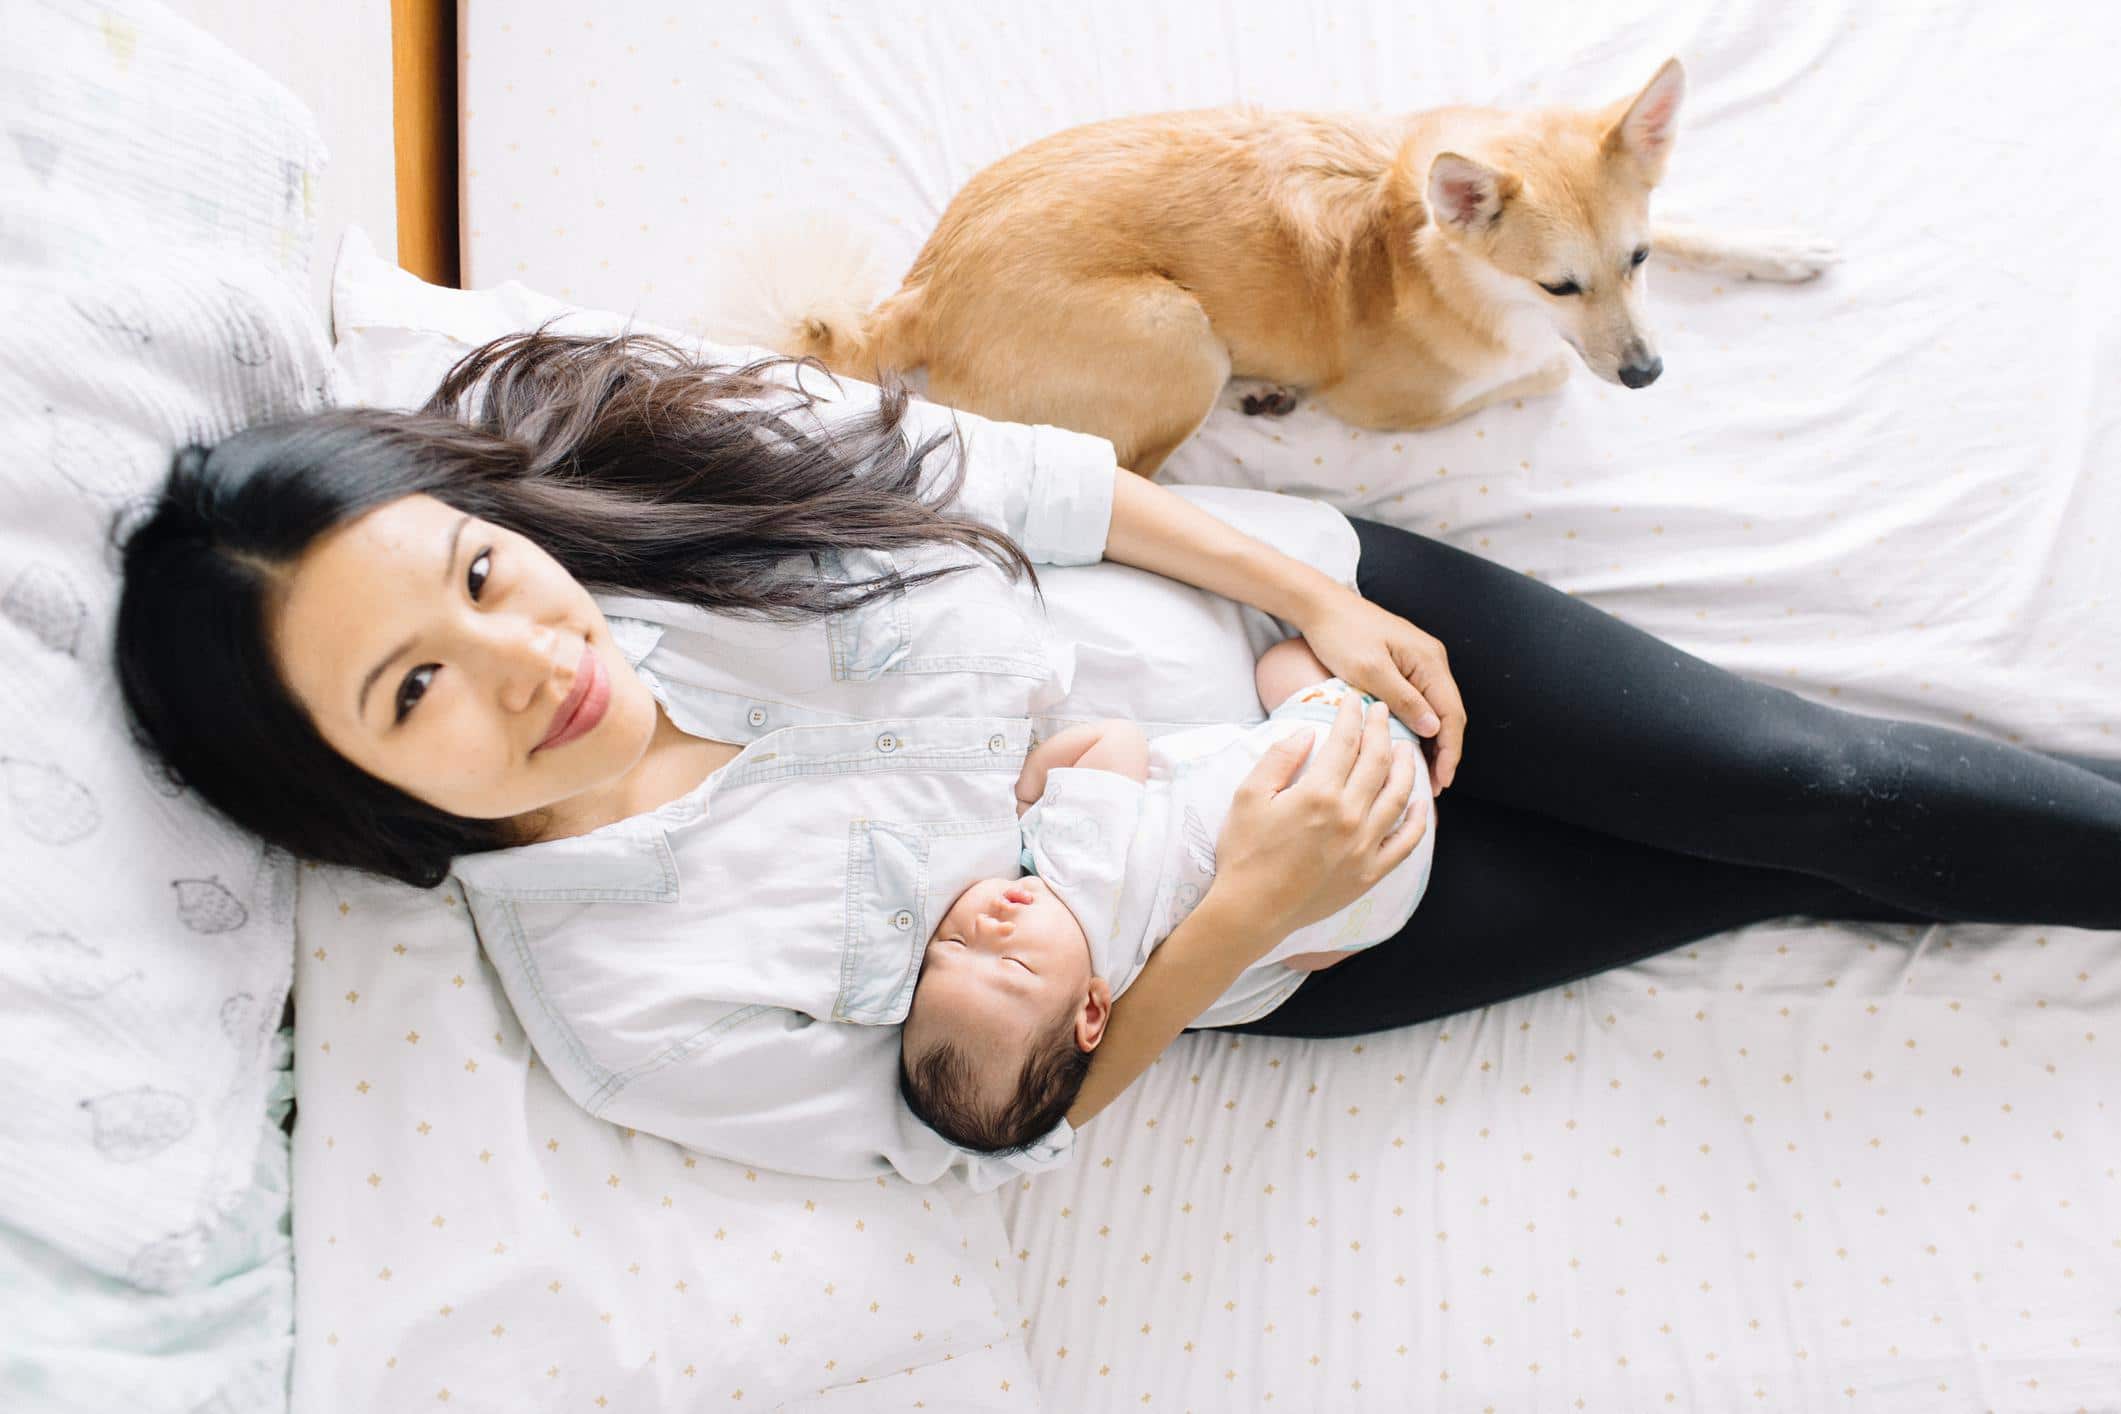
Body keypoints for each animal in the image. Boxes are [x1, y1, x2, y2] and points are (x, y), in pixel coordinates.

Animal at [789, 60, 1832, 479]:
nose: (1648, 374)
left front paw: (1781, 250)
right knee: (1137, 481)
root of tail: (921, 292)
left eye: (1635, 259)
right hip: (1180, 338)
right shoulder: (1398, 401)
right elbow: (1550, 376)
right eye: (1556, 287)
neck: (1423, 238)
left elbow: (1690, 225)